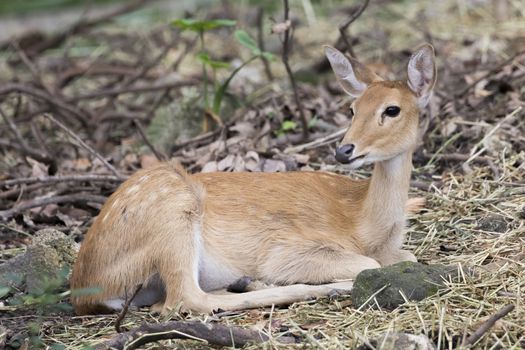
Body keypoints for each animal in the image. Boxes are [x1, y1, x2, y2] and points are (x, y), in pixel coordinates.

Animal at [70, 43, 438, 314]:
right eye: (352, 109)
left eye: (392, 109)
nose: (344, 150)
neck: (365, 226)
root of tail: (84, 288)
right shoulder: (286, 247)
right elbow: (366, 262)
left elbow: (408, 256)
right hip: (172, 214)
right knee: (184, 300)